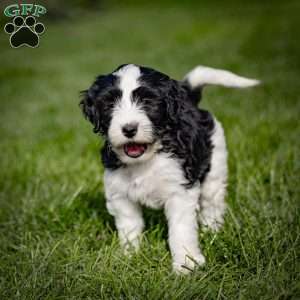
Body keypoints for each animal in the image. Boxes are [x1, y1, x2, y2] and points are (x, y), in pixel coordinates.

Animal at [79, 63, 258, 274]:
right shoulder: (120, 194)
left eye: (148, 102)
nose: (129, 129)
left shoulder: (180, 191)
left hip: (215, 164)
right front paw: (129, 256)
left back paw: (213, 232)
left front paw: (187, 265)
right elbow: (129, 227)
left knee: (212, 202)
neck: (148, 158)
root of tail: (189, 99)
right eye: (109, 104)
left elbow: (180, 230)